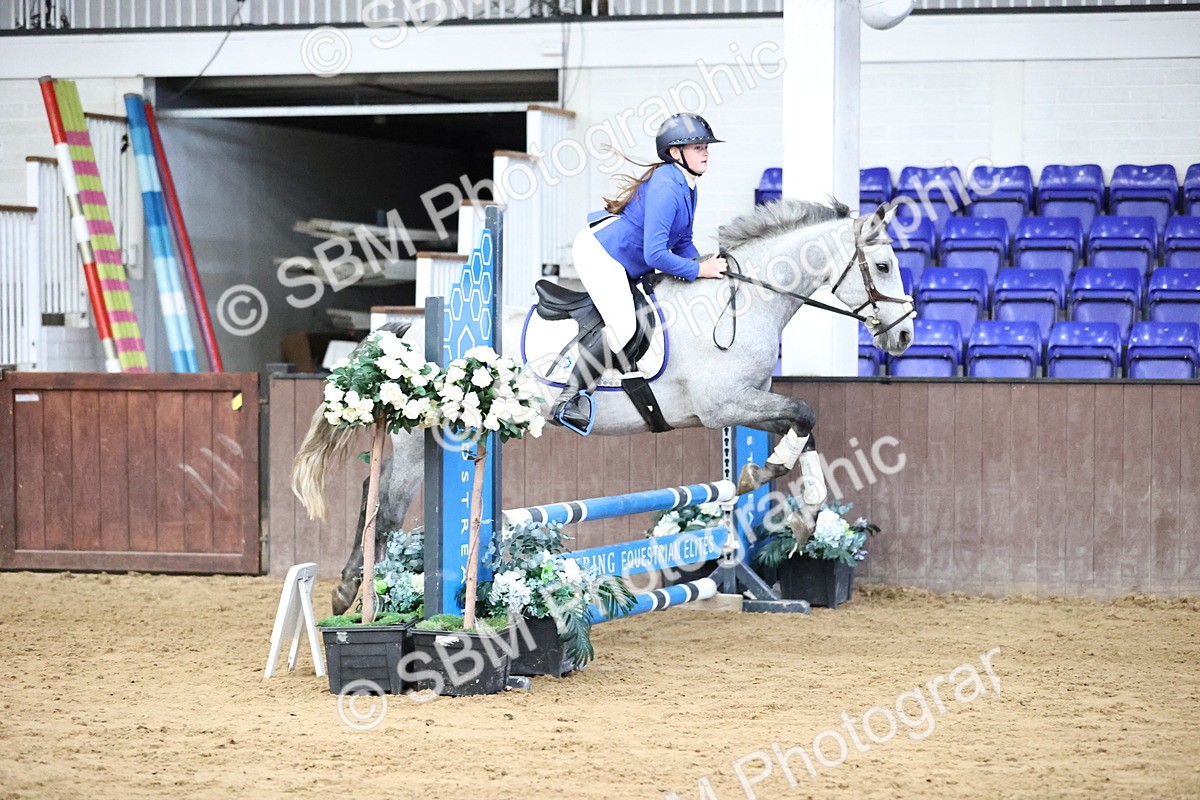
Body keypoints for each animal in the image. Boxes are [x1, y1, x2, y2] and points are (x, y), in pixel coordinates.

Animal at [293, 199, 913, 613]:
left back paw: (356, 592)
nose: (905, 335)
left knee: (378, 499)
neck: (744, 300)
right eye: (884, 266)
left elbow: (804, 426)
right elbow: (805, 415)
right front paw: (775, 485)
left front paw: (802, 514)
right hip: (426, 433)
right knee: (386, 507)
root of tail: (413, 333)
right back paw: (368, 598)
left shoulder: (749, 402)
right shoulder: (725, 406)